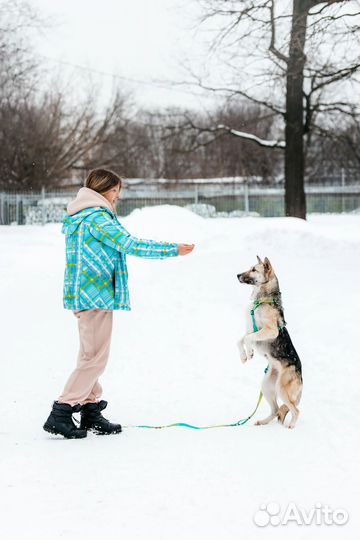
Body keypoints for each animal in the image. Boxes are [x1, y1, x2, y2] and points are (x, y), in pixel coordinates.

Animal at [238, 258, 302, 430]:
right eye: (250, 267)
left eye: (254, 269)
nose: (237, 275)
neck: (262, 299)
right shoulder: (249, 329)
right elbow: (241, 340)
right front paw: (244, 356)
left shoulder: (270, 331)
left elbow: (248, 339)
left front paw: (250, 352)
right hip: (266, 386)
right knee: (275, 410)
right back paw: (263, 422)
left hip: (281, 389)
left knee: (296, 410)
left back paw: (291, 426)